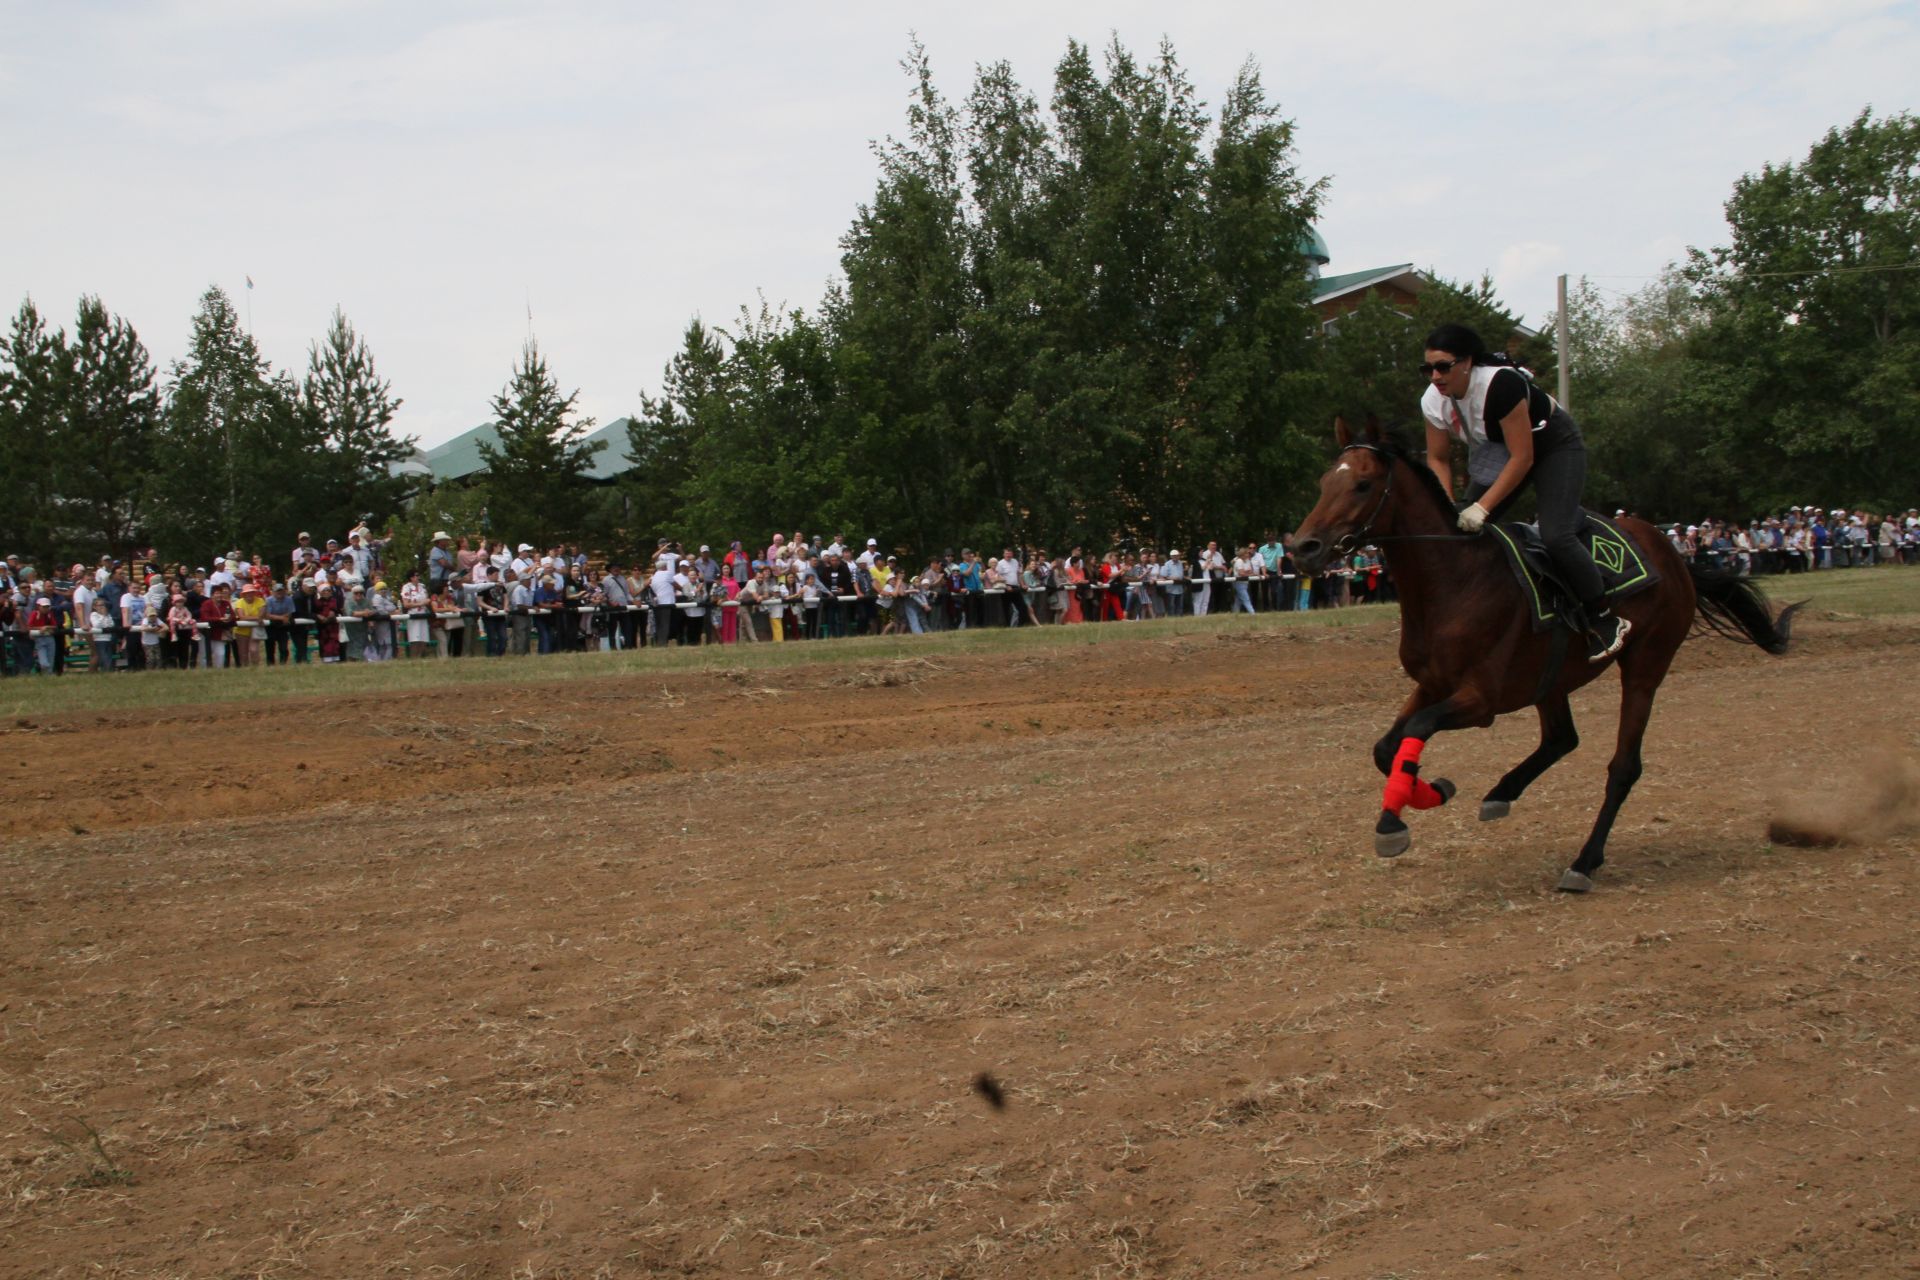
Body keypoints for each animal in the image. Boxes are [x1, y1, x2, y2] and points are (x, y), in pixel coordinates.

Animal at [1290, 420, 1797, 890]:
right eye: (1323, 481)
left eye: (1362, 483)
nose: (1302, 548)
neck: (1455, 581)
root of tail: (1673, 553)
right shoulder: (1432, 683)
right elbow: (1385, 748)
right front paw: (1433, 790)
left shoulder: (1481, 700)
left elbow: (1416, 729)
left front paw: (1393, 822)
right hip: (1550, 679)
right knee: (1561, 739)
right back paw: (1502, 792)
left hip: (1646, 664)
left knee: (1623, 767)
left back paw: (1584, 862)